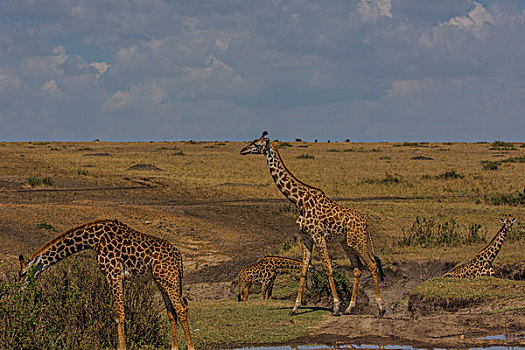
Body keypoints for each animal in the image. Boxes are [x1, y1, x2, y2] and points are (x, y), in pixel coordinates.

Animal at [18, 219, 195, 350]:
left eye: (23, 274)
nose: (19, 291)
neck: (94, 239)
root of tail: (179, 257)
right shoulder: (116, 276)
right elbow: (119, 314)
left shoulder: (113, 273)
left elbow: (119, 315)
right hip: (162, 280)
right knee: (171, 312)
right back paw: (174, 347)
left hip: (169, 278)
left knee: (181, 308)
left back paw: (191, 347)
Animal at [239, 132, 382, 318]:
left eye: (256, 144)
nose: (243, 150)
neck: (299, 202)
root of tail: (366, 223)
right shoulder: (306, 237)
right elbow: (303, 269)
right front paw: (295, 308)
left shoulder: (318, 236)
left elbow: (328, 268)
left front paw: (336, 307)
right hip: (346, 242)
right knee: (357, 269)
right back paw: (350, 308)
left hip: (358, 240)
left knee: (372, 265)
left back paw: (380, 308)